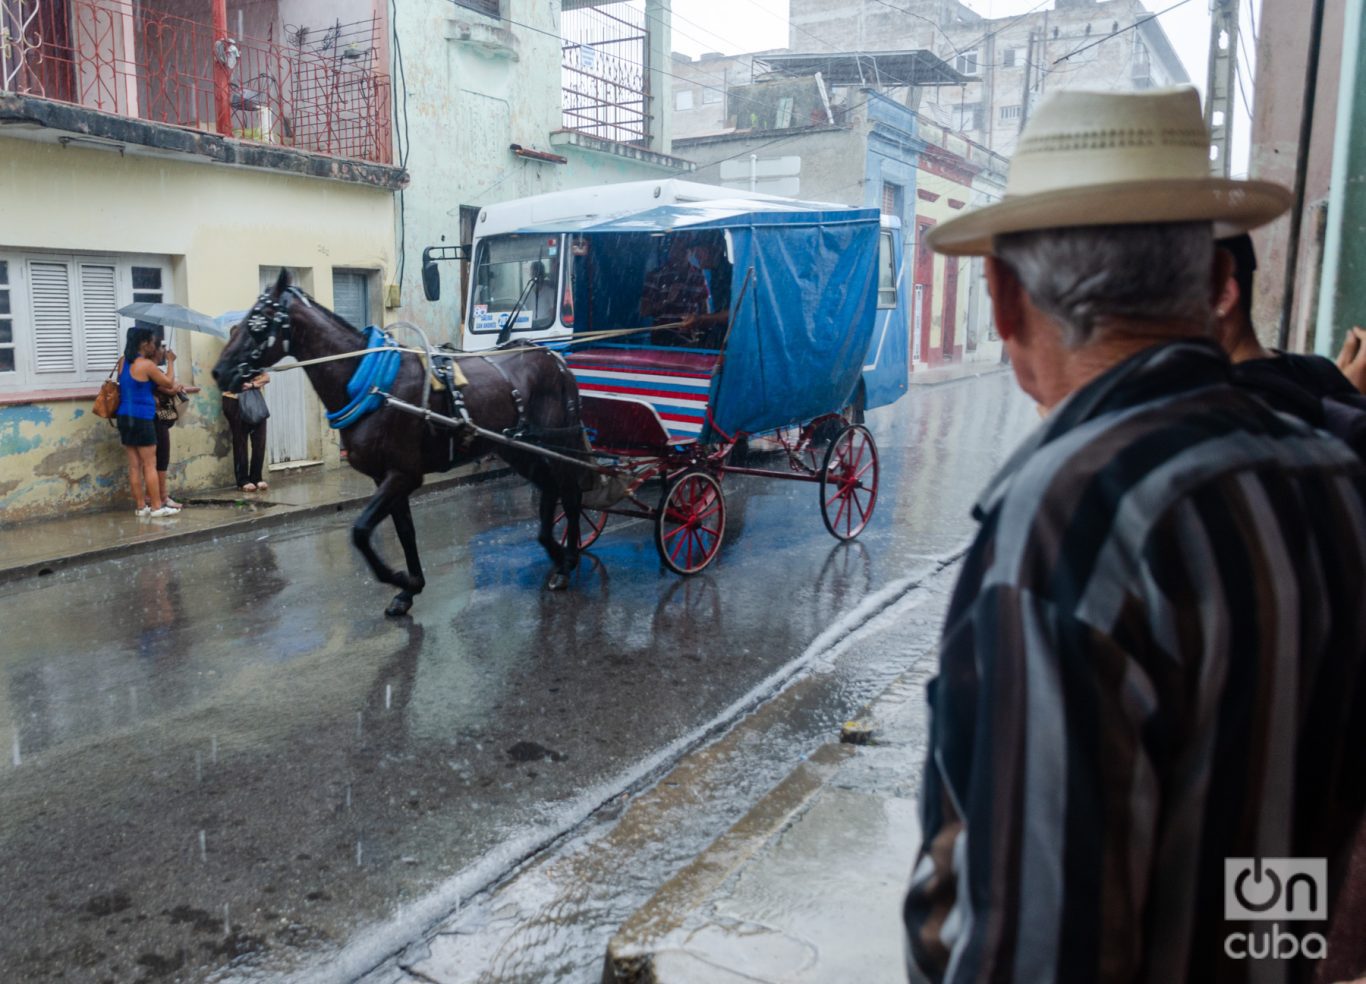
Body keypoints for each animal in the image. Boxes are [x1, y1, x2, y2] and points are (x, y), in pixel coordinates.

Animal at [211, 269, 587, 615]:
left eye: (257, 323)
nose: (219, 372)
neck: (374, 385)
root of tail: (554, 359)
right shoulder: (387, 476)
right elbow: (405, 531)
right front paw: (411, 587)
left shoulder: (403, 475)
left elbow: (361, 531)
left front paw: (398, 579)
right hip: (518, 449)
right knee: (550, 488)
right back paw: (554, 550)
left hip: (558, 443)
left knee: (570, 493)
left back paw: (567, 561)